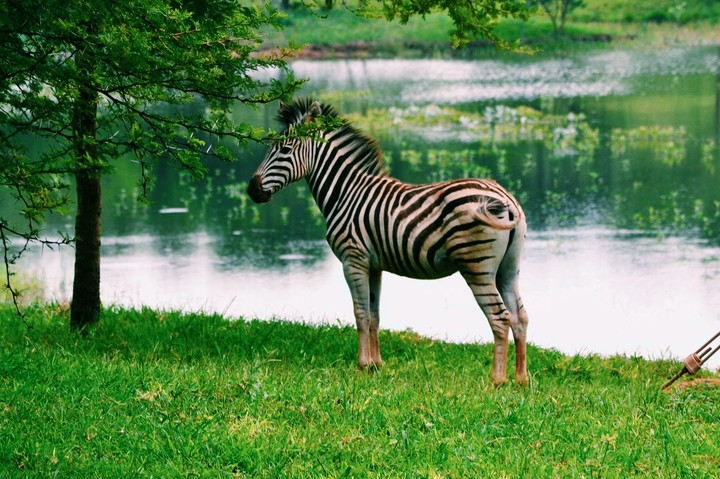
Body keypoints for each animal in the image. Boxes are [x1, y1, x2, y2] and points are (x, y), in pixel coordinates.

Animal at [248, 98, 529, 385]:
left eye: (284, 149)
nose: (252, 190)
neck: (346, 192)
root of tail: (505, 198)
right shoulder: (374, 266)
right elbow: (375, 315)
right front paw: (376, 365)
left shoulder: (353, 260)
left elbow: (360, 314)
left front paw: (361, 365)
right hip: (508, 267)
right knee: (519, 317)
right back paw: (521, 379)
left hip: (476, 266)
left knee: (500, 318)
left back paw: (497, 381)